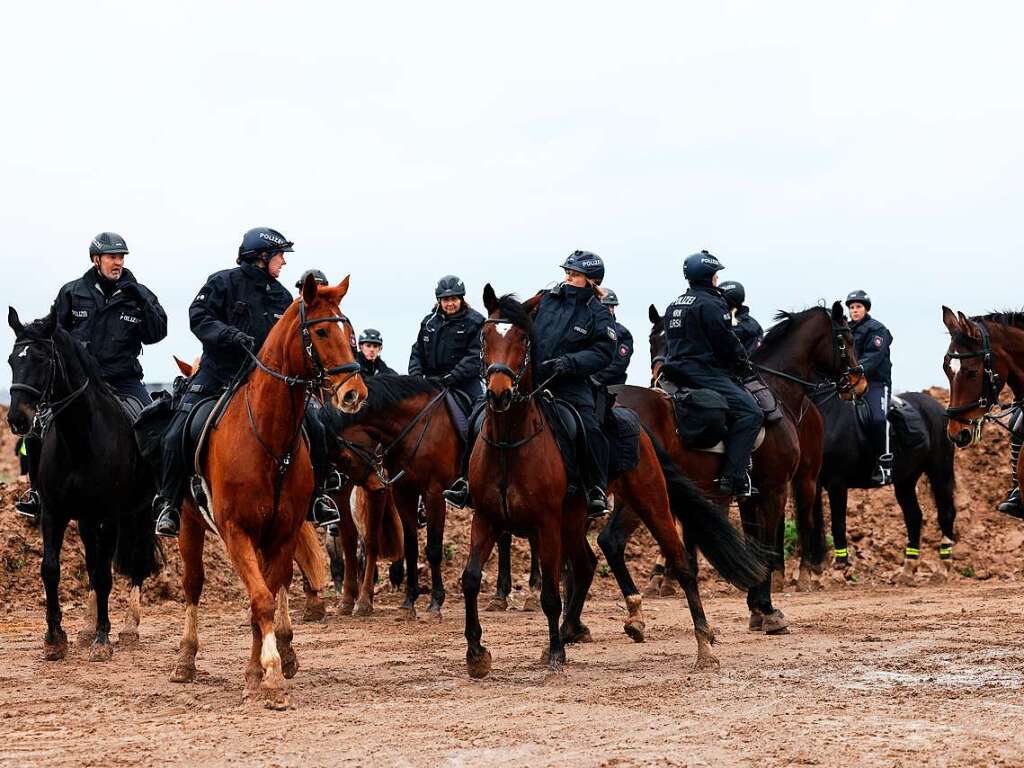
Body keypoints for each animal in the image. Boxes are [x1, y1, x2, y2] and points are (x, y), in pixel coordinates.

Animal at [6, 307, 159, 663]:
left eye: (42, 359)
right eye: (11, 360)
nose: (18, 420)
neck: (79, 437)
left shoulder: (109, 516)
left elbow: (103, 574)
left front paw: (103, 640)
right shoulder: (54, 512)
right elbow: (51, 569)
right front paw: (55, 638)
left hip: (140, 512)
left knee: (138, 560)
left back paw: (128, 628)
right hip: (88, 520)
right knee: (93, 561)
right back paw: (88, 627)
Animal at [164, 274, 364, 708]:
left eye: (350, 331)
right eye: (322, 331)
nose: (354, 392)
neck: (269, 439)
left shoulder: (282, 532)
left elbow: (269, 594)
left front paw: (262, 670)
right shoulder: (237, 532)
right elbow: (260, 599)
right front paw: (269, 675)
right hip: (189, 523)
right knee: (193, 585)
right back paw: (185, 659)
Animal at [460, 288, 765, 679]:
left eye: (523, 339)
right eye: (485, 337)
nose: (499, 394)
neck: (509, 444)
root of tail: (638, 420)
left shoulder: (545, 524)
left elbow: (550, 595)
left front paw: (556, 655)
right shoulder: (485, 518)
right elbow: (470, 579)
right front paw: (476, 653)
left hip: (649, 502)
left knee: (681, 563)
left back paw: (703, 645)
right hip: (576, 521)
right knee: (587, 563)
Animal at [626, 303, 868, 634]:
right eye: (846, 340)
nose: (859, 381)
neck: (778, 392)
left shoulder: (751, 493)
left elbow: (756, 541)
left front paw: (756, 605)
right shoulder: (770, 489)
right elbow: (763, 543)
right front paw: (765, 609)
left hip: (804, 479)